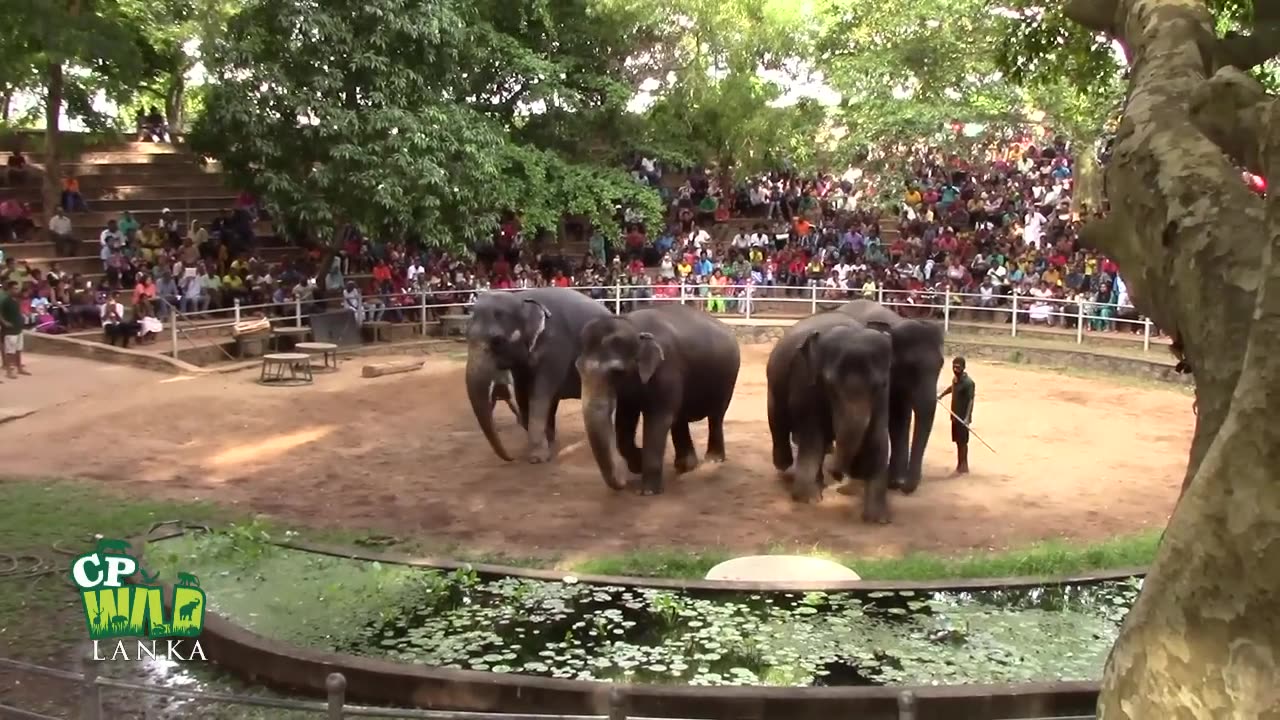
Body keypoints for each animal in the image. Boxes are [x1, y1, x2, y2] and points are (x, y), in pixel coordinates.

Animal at [468, 284, 611, 458]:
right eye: (466, 335)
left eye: (497, 341)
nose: (511, 458)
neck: (521, 299)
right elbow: (522, 393)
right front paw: (546, 444)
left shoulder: (555, 345)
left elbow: (540, 394)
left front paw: (538, 457)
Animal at [578, 302, 747, 491]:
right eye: (578, 368)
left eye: (617, 372)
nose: (623, 481)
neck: (633, 325)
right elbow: (624, 420)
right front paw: (638, 463)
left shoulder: (667, 368)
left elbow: (658, 418)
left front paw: (648, 490)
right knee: (680, 418)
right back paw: (685, 466)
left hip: (728, 376)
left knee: (716, 416)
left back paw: (713, 460)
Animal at [768, 310, 890, 520]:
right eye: (830, 385)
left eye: (878, 385)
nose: (839, 475)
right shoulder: (805, 379)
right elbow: (811, 432)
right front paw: (807, 499)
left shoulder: (885, 392)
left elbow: (879, 434)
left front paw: (879, 518)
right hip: (773, 385)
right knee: (778, 423)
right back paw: (787, 468)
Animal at [834, 294, 947, 489]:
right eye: (909, 367)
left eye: (941, 365)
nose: (906, 487)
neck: (896, 323)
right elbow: (891, 419)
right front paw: (891, 481)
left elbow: (901, 417)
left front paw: (895, 481)